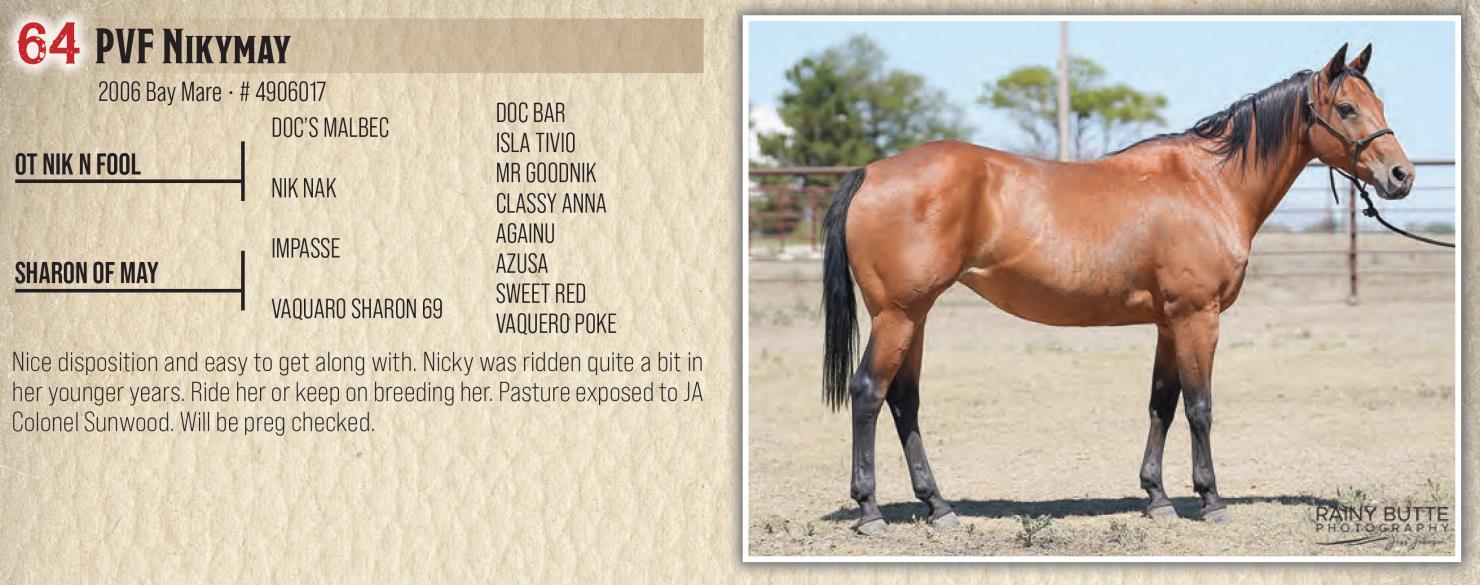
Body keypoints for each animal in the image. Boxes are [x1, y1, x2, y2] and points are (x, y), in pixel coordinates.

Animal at [820, 44, 1415, 534]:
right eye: (1346, 109)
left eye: (1381, 102)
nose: (1401, 176)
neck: (1209, 185)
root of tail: (871, 172)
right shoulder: (1197, 317)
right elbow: (1200, 407)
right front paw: (1210, 500)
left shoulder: (1169, 323)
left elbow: (1162, 404)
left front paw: (1157, 498)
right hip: (898, 315)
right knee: (869, 393)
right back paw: (869, 511)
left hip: (914, 317)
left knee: (904, 401)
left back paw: (938, 506)